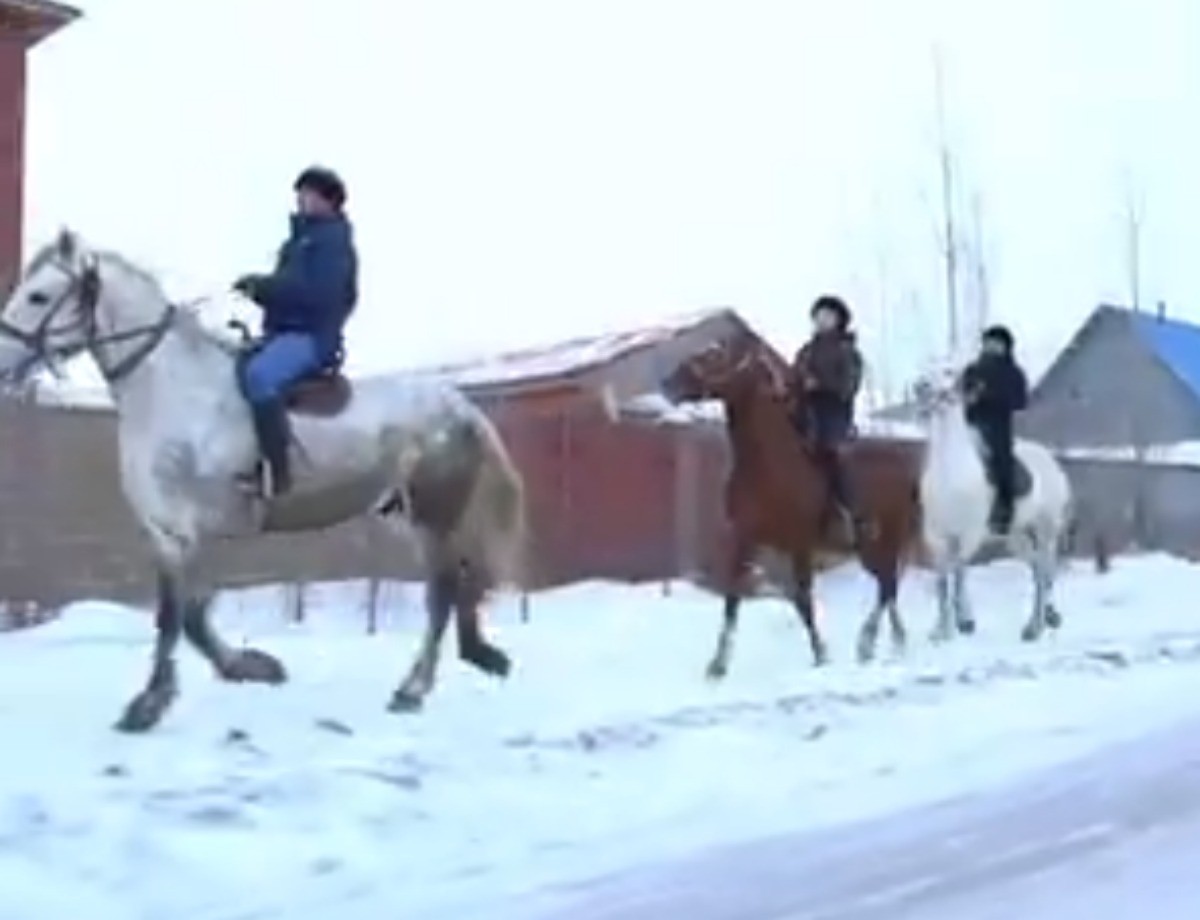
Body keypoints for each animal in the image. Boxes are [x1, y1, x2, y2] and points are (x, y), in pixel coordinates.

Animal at [0, 230, 525, 734]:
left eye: (38, 295)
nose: (3, 363)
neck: (173, 391)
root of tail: (460, 406)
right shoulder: (172, 533)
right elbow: (186, 615)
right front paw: (249, 667)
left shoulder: (191, 530)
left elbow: (178, 618)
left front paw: (150, 705)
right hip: (412, 515)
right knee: (453, 585)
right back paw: (471, 660)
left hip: (435, 515)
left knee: (442, 593)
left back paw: (413, 689)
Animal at [662, 335, 921, 671]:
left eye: (715, 356)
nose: (668, 383)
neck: (769, 464)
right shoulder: (745, 539)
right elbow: (733, 596)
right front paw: (718, 665)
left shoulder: (800, 545)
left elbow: (802, 599)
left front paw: (821, 655)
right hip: (872, 548)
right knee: (887, 587)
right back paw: (887, 642)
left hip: (883, 541)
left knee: (887, 586)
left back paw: (868, 642)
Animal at [912, 364, 1075, 642]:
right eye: (926, 370)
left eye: (948, 372)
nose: (920, 387)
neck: (951, 474)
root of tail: (1052, 461)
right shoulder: (937, 538)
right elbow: (942, 581)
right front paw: (942, 630)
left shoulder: (969, 535)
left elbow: (959, 573)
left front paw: (963, 622)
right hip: (1018, 537)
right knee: (1037, 571)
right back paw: (1037, 624)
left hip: (1046, 531)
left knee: (1044, 573)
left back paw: (1039, 625)